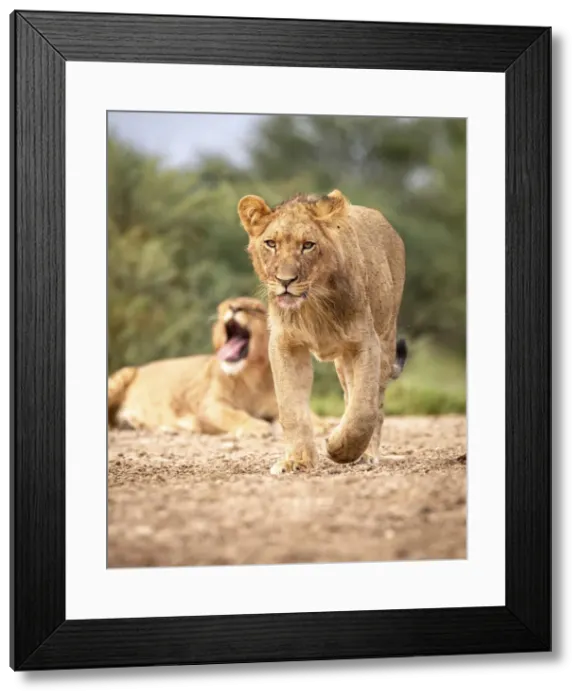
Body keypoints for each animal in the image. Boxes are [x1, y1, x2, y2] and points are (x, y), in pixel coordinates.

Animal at [107, 296, 327, 438]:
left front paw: (321, 425)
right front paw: (257, 426)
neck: (251, 377)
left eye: (255, 309)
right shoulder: (211, 404)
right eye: (224, 306)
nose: (233, 307)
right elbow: (233, 414)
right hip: (122, 376)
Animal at [238, 189, 407, 474]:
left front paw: (339, 448)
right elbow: (291, 408)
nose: (285, 281)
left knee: (374, 401)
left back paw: (365, 454)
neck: (313, 306)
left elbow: (364, 408)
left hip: (385, 338)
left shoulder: (366, 342)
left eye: (308, 245)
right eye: (271, 243)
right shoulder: (285, 344)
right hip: (344, 361)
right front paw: (297, 461)